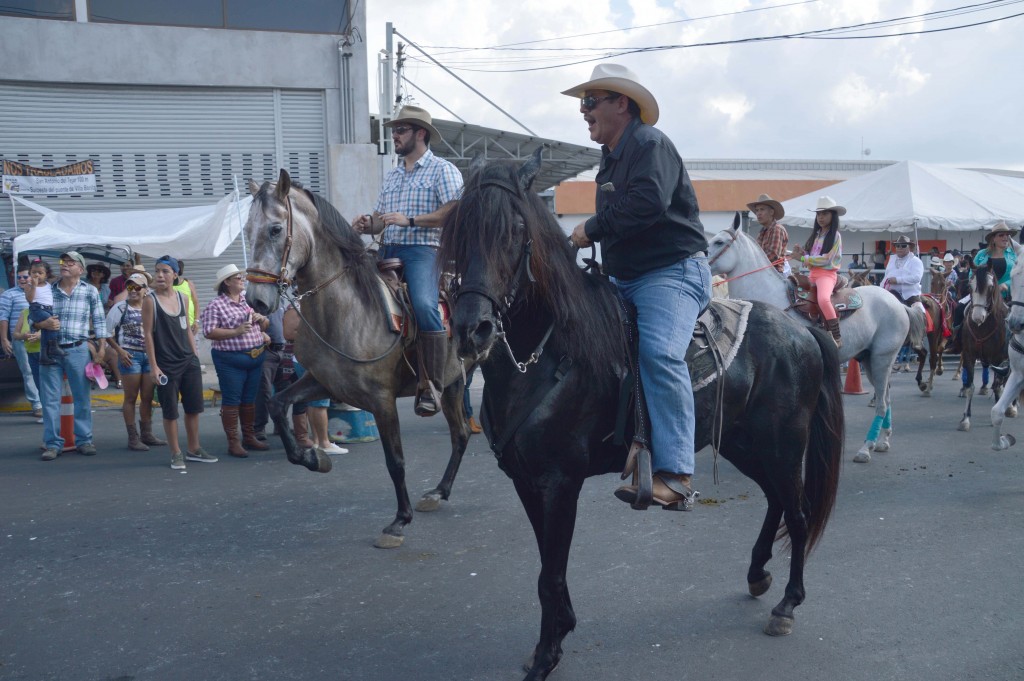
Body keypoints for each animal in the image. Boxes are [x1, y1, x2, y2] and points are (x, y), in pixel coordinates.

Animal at [245, 169, 468, 548]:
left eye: (275, 229)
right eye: (246, 230)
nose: (256, 300)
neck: (346, 310)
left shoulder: (381, 399)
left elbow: (395, 460)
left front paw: (399, 522)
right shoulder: (322, 381)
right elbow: (276, 404)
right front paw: (314, 457)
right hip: (454, 383)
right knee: (461, 436)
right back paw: (439, 491)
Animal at [440, 153, 847, 679]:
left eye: (513, 231)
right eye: (458, 231)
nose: (474, 328)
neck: (552, 351)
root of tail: (800, 329)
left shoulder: (559, 482)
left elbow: (550, 574)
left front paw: (546, 656)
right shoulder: (526, 481)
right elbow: (548, 569)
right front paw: (557, 634)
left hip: (782, 445)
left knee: (796, 513)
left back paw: (787, 605)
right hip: (744, 444)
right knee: (777, 501)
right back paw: (758, 573)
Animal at [708, 223, 925, 462]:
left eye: (719, 242)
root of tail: (898, 304)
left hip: (882, 359)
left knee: (882, 404)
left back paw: (866, 448)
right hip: (870, 360)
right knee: (886, 398)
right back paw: (883, 441)